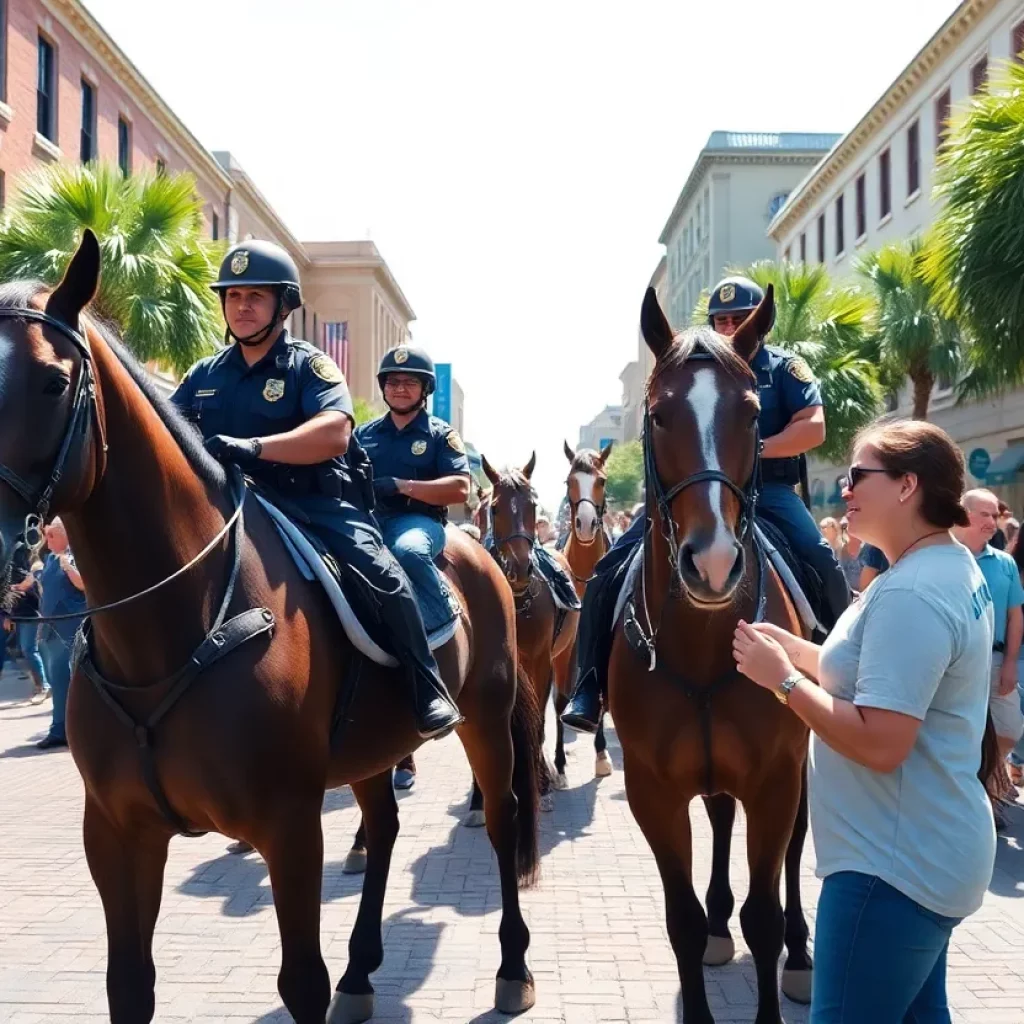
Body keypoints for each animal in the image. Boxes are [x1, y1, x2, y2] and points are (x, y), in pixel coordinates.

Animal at [0, 230, 544, 1024]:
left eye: (49, 383)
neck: (173, 624)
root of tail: (478, 548)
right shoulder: (115, 832)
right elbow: (128, 987)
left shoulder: (288, 827)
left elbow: (300, 984)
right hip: (373, 746)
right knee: (383, 829)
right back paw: (362, 972)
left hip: (487, 716)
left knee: (503, 818)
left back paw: (512, 965)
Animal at [477, 452, 581, 811]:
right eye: (494, 508)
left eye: (532, 505)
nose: (521, 568)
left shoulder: (540, 660)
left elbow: (539, 717)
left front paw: (541, 780)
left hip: (565, 653)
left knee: (560, 705)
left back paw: (557, 766)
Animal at [606, 286, 815, 1024]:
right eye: (658, 414)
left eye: (752, 413)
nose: (716, 561)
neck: (701, 645)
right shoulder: (654, 793)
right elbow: (683, 922)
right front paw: (710, 931)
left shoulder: (777, 780)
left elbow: (765, 915)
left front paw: (779, 948)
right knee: (721, 820)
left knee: (792, 856)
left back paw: (803, 956)